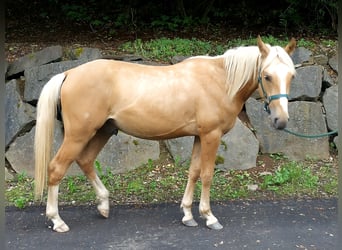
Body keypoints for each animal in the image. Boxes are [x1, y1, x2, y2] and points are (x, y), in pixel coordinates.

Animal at [35, 35, 296, 232]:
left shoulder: (199, 137)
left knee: (86, 160)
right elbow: (207, 175)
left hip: (103, 131)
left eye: (292, 76)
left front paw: (188, 215)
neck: (220, 80)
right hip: (79, 135)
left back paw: (104, 205)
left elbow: (193, 172)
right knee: (56, 168)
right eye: (267, 76)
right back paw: (57, 220)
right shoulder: (211, 135)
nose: (281, 120)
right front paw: (209, 216)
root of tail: (69, 73)